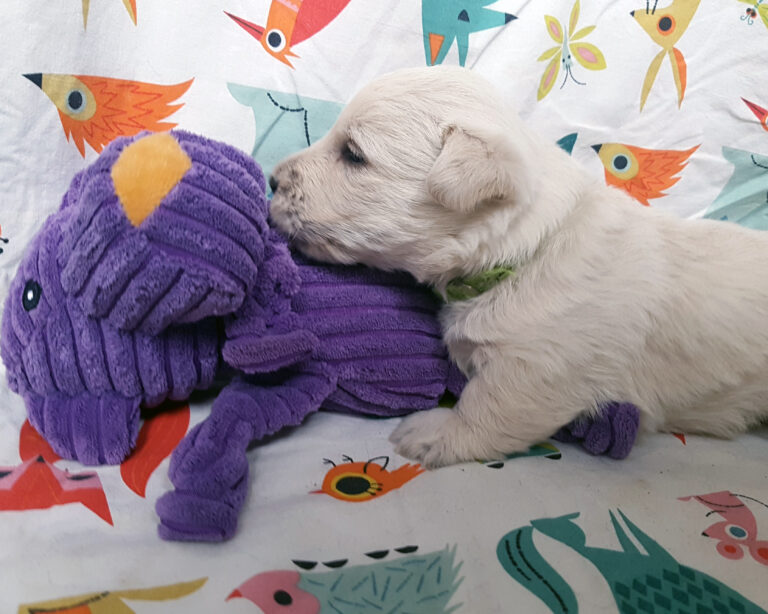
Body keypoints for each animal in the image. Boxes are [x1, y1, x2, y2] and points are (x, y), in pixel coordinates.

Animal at [268, 66, 768, 466]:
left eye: (354, 154)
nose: (271, 178)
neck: (532, 249)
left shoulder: (541, 365)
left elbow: (489, 405)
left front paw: (433, 432)